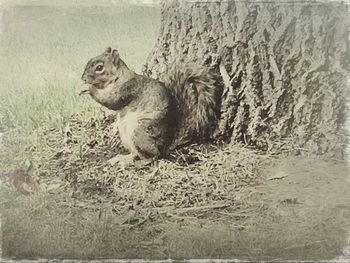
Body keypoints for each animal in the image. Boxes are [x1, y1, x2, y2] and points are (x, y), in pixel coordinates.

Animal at [78, 47, 217, 167]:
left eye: (99, 67)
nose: (83, 78)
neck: (119, 77)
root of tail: (167, 144)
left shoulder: (128, 89)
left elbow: (112, 101)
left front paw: (87, 88)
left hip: (140, 134)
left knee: (154, 156)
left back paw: (140, 163)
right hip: (126, 136)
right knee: (136, 154)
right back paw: (123, 159)